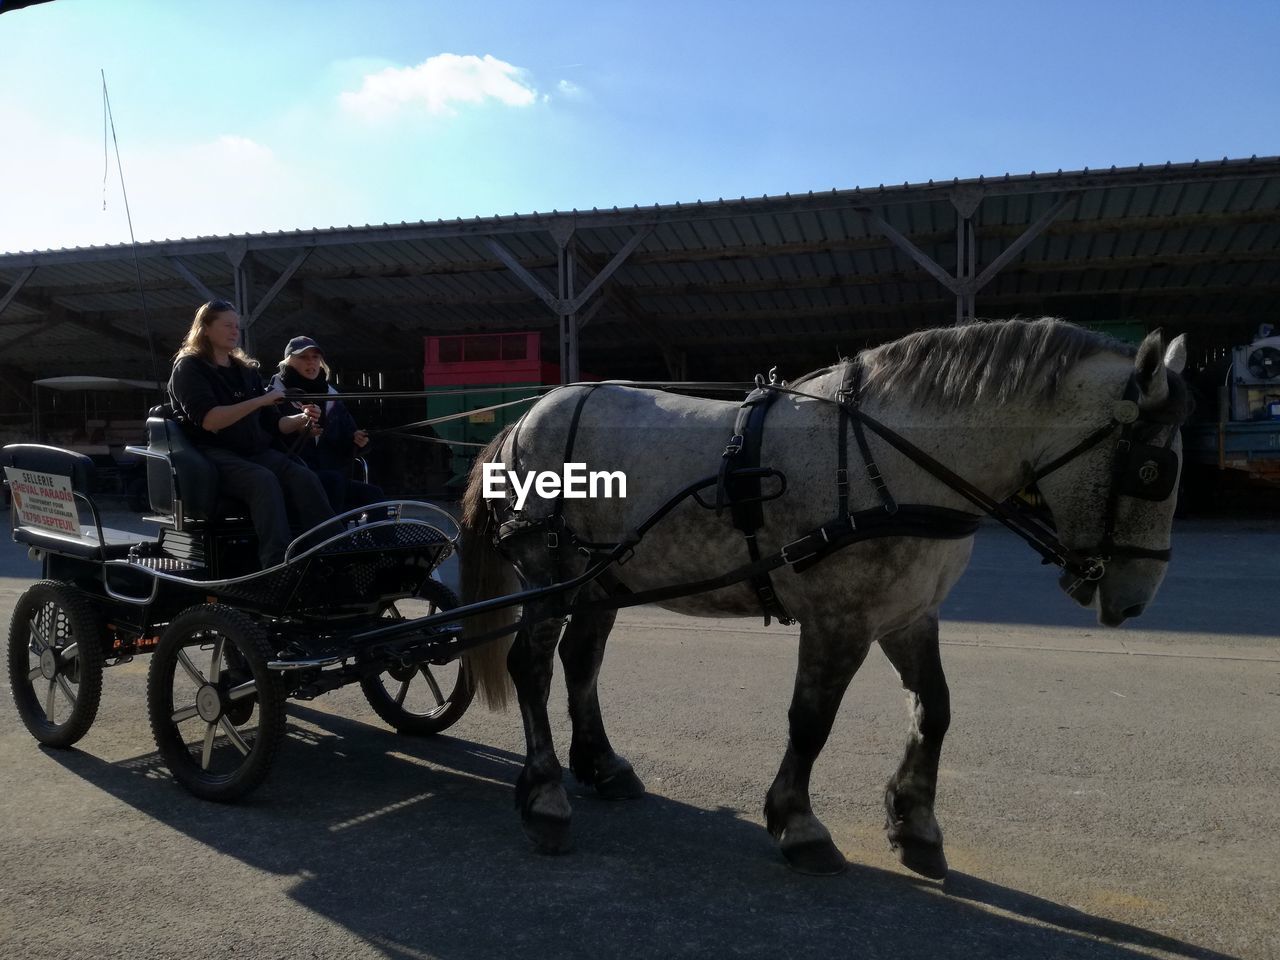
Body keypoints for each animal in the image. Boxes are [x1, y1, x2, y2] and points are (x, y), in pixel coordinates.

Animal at [453, 317, 1187, 880]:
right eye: (1154, 470)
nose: (1135, 600)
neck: (895, 461)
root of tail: (524, 420)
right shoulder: (839, 621)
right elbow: (811, 722)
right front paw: (798, 824)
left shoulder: (908, 616)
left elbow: (935, 710)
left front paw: (915, 823)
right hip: (551, 571)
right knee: (531, 666)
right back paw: (545, 794)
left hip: (601, 579)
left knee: (581, 664)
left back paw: (603, 766)